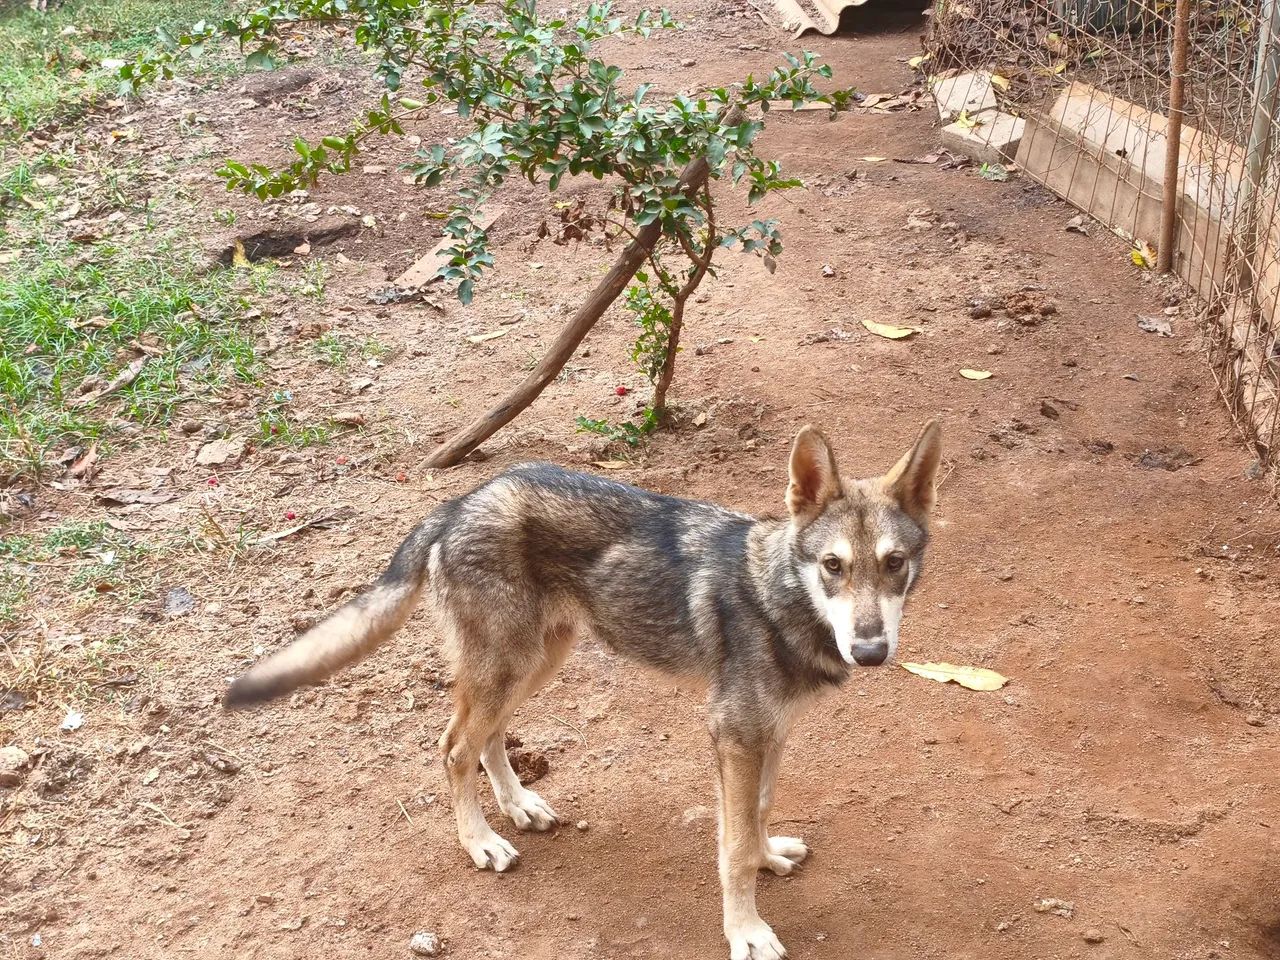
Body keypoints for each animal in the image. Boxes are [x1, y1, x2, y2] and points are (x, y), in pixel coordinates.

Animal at [226, 421, 943, 959]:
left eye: (894, 564)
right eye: (833, 566)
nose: (870, 652)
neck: (778, 597)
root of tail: (460, 502)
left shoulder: (770, 733)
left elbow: (756, 816)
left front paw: (769, 856)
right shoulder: (734, 733)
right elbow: (732, 848)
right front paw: (747, 931)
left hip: (537, 664)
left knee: (487, 741)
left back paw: (519, 807)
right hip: (509, 667)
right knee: (454, 748)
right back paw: (481, 842)